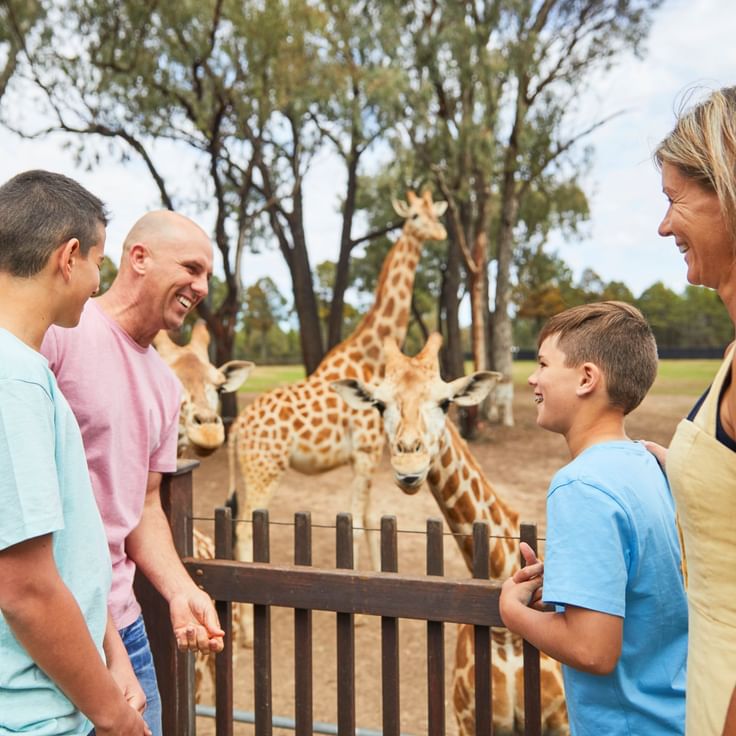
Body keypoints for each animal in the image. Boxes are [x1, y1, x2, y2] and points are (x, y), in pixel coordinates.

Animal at [227, 190, 447, 586]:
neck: (370, 356)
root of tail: (237, 427)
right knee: (244, 528)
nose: (440, 232)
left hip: (252, 470)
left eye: (433, 213)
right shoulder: (365, 452)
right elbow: (357, 524)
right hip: (265, 469)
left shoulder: (371, 456)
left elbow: (372, 520)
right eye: (414, 217)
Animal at [332, 334, 568, 736]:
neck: (507, 637)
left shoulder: (562, 721)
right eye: (379, 404)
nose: (409, 467)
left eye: (446, 402)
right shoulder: (467, 720)